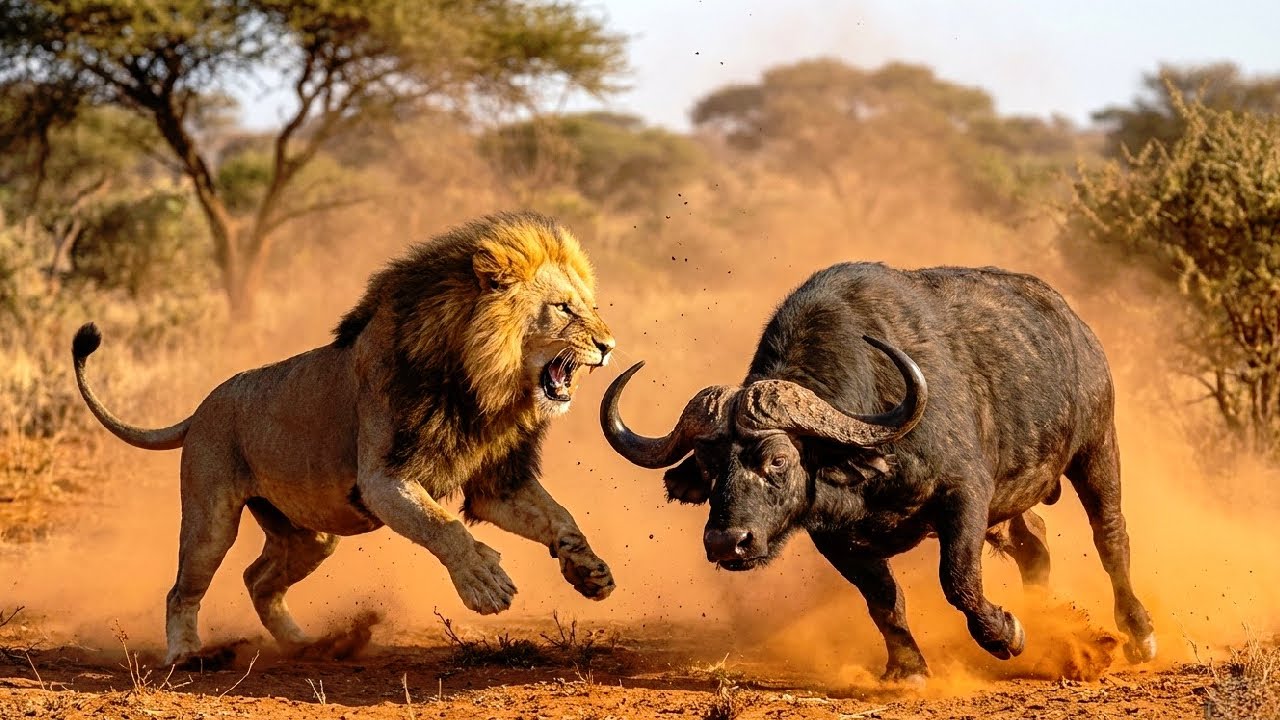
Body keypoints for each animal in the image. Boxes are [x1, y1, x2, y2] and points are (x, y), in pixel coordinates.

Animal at [72, 211, 618, 667]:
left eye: (590, 306)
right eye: (563, 309)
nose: (609, 346)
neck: (481, 386)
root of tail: (201, 407)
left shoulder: (497, 483)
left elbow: (558, 516)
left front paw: (588, 569)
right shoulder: (382, 478)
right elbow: (443, 528)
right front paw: (484, 583)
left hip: (311, 535)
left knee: (257, 580)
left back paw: (309, 645)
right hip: (212, 520)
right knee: (183, 589)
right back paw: (187, 655)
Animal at [600, 261, 1156, 682]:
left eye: (778, 459)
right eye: (711, 467)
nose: (726, 543)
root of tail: (1074, 323)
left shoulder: (965, 496)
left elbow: (957, 579)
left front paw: (1006, 634)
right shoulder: (837, 539)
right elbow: (884, 601)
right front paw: (908, 669)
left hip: (1097, 447)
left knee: (1111, 537)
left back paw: (1139, 632)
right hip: (1013, 501)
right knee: (1034, 541)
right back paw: (1051, 617)